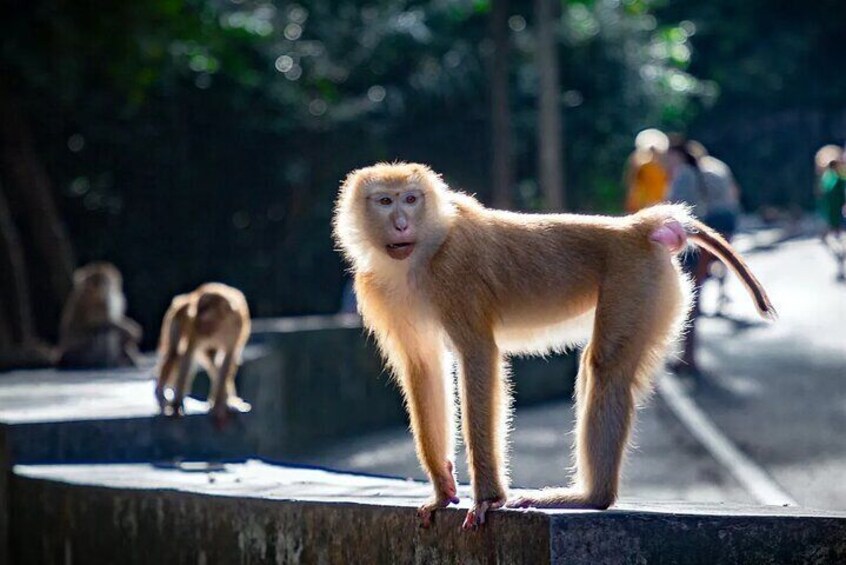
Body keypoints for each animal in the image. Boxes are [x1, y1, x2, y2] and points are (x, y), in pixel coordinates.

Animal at [155, 282, 250, 424]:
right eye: (197, 318)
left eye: (206, 318)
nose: (200, 327)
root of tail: (185, 298)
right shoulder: (193, 327)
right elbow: (188, 353)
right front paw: (177, 404)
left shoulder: (236, 327)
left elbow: (228, 357)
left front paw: (219, 405)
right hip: (176, 316)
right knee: (174, 353)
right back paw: (160, 393)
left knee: (214, 361)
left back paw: (225, 401)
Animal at [332, 162, 776, 528]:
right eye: (385, 200)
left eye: (411, 198)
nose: (401, 223)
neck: (421, 255)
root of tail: (637, 228)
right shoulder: (378, 290)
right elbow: (423, 367)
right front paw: (442, 490)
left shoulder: (455, 273)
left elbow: (478, 355)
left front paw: (487, 498)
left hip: (638, 281)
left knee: (606, 368)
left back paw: (591, 497)